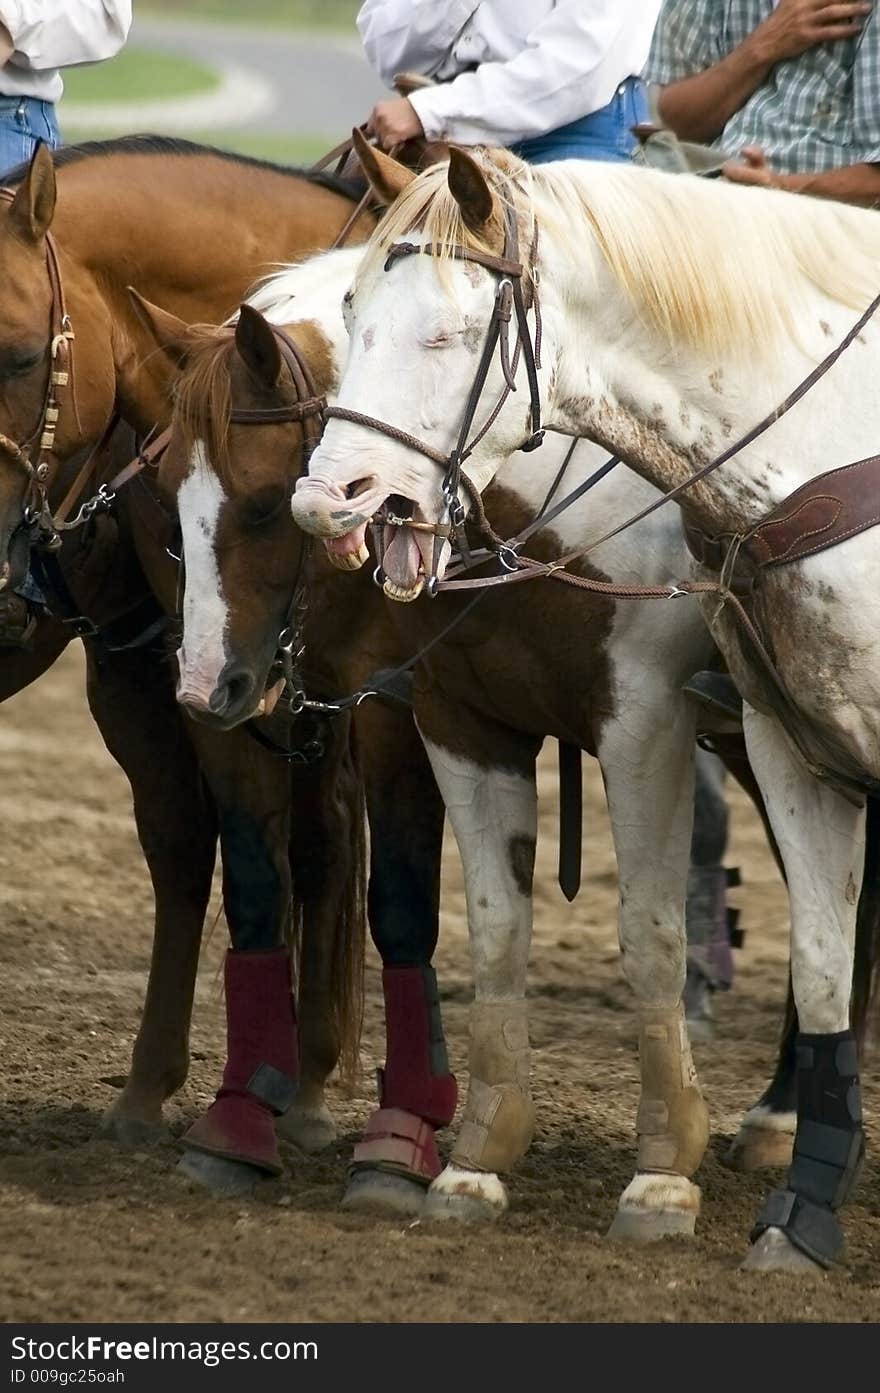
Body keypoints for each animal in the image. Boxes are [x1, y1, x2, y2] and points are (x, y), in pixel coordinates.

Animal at [0, 141, 445, 1186]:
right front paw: (220, 1106)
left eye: (20, 354)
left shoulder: (379, 700)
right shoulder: (195, 678)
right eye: (171, 512)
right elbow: (236, 862)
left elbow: (376, 880)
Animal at [135, 225, 880, 1231]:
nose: (208, 684)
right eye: (170, 491)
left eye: (263, 501)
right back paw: (783, 1116)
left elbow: (650, 930)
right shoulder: (459, 718)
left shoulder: (643, 718)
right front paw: (476, 1157)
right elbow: (491, 926)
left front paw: (661, 1169)